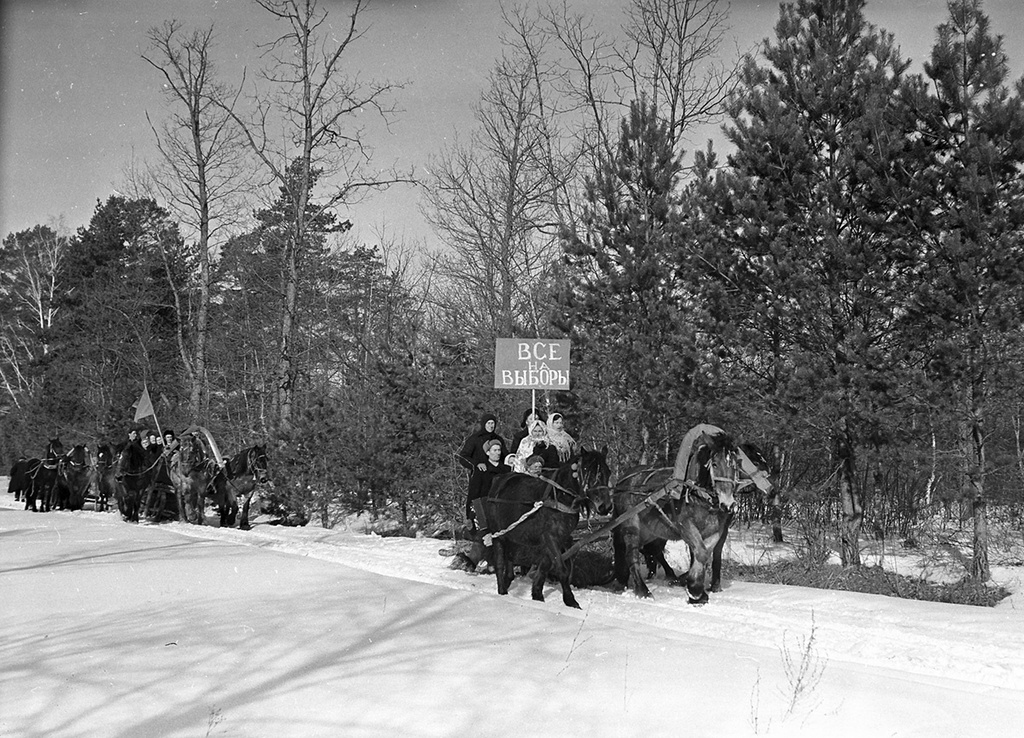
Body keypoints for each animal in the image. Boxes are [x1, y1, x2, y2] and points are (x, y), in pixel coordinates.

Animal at [610, 425, 741, 605]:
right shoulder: (685, 526)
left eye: (735, 465)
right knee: (632, 555)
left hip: (650, 531)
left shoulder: (716, 531)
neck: (697, 494)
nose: (728, 503)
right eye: (714, 464)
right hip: (631, 524)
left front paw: (696, 591)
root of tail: (622, 481)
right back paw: (643, 591)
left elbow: (703, 555)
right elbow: (700, 553)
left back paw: (625, 581)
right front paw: (695, 589)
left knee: (645, 551)